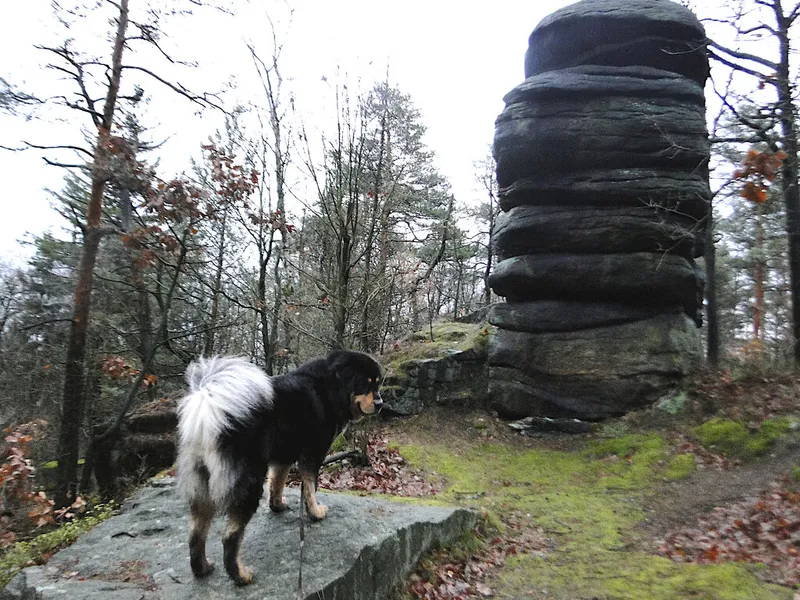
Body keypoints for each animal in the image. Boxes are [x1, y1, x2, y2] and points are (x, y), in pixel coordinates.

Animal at [176, 349, 383, 586]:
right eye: (365, 383)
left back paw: (202, 569)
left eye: (378, 383)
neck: (329, 386)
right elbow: (310, 488)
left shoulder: (284, 456)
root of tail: (208, 409)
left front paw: (277, 506)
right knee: (230, 538)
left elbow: (277, 482)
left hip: (202, 487)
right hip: (249, 483)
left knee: (196, 533)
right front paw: (315, 513)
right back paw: (241, 576)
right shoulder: (312, 454)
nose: (380, 403)